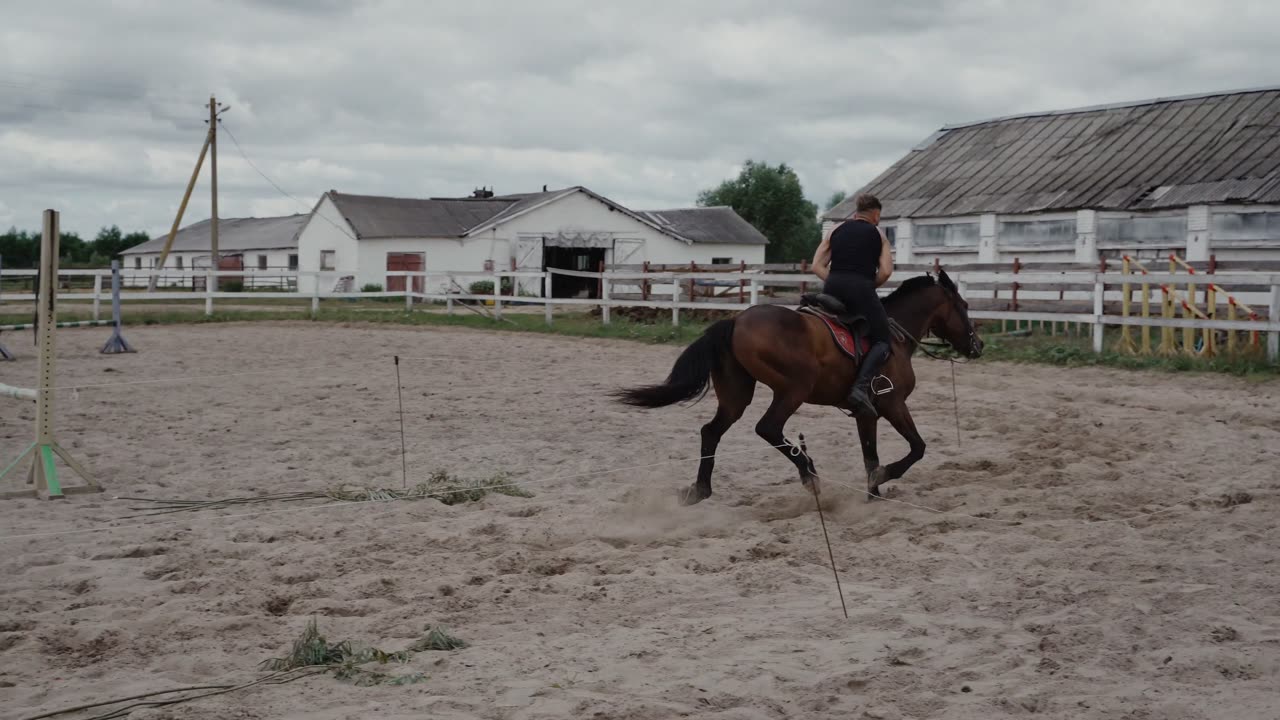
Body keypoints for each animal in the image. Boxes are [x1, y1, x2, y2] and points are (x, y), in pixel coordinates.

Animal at [614, 269, 983, 504]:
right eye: (964, 306)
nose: (977, 346)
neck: (895, 338)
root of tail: (735, 320)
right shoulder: (893, 404)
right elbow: (916, 448)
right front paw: (882, 478)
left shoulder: (867, 413)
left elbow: (869, 454)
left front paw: (873, 496)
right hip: (794, 389)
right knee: (768, 428)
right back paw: (809, 474)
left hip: (736, 395)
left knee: (711, 431)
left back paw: (699, 490)